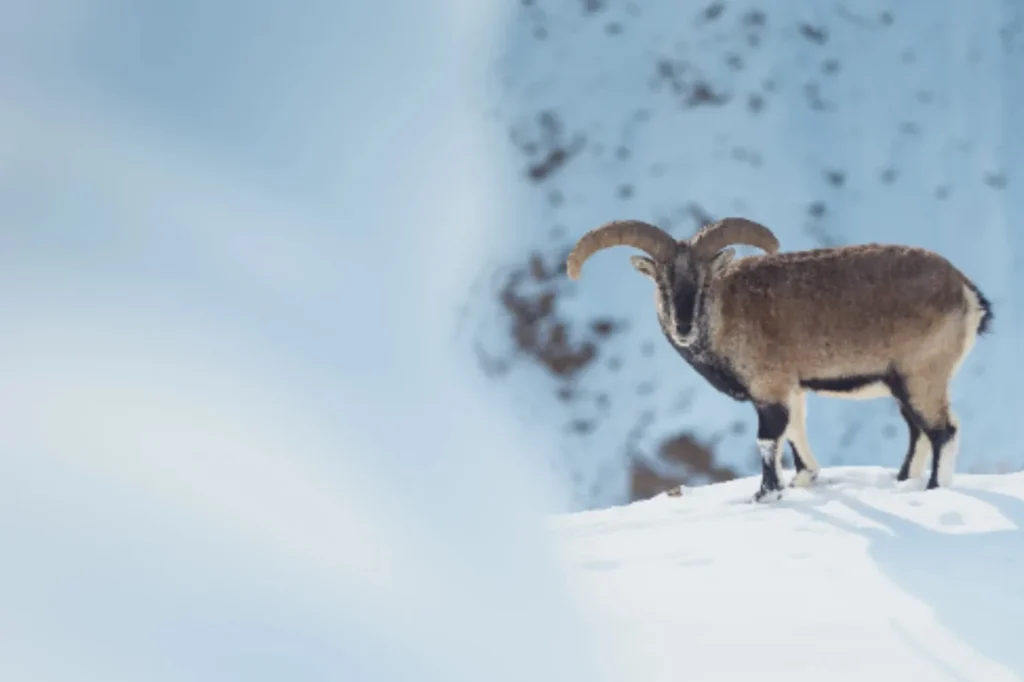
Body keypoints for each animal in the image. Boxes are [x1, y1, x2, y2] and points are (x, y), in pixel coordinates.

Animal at [565, 217, 993, 502]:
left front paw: (766, 494)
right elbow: (796, 431)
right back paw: (903, 481)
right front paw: (803, 480)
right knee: (918, 431)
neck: (728, 314)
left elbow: (768, 438)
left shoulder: (769, 388)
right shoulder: (792, 388)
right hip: (902, 383)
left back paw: (935, 489)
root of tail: (966, 291)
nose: (683, 326)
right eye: (662, 283)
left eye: (704, 281)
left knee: (943, 431)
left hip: (921, 377)